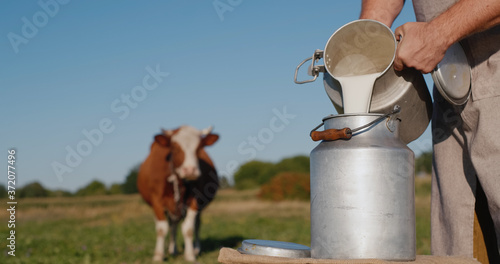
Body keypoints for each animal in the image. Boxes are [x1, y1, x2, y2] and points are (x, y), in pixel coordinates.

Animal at [139, 126, 221, 262]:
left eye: (199, 147)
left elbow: (188, 229)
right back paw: (172, 250)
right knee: (172, 225)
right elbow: (161, 229)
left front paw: (190, 255)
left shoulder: (195, 201)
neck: (178, 180)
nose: (190, 170)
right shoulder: (157, 201)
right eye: (175, 148)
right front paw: (158, 255)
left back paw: (195, 249)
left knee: (195, 224)